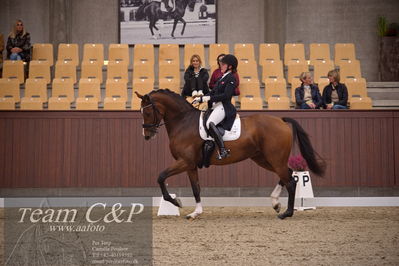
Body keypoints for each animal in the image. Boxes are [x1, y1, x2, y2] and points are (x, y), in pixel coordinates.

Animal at [136, 89, 326, 218]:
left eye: (148, 112)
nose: (146, 135)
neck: (183, 122)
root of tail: (281, 120)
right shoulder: (190, 165)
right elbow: (196, 188)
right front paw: (196, 212)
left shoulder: (184, 162)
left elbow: (161, 177)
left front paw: (176, 201)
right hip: (263, 158)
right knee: (287, 174)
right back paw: (275, 203)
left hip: (274, 158)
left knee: (290, 181)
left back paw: (287, 213)